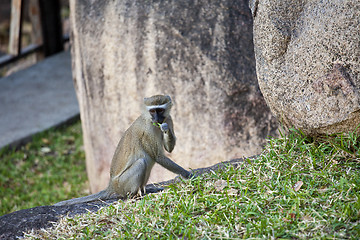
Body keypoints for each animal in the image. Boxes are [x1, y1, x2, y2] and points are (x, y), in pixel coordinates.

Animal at [53, 94, 193, 205]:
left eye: (160, 110)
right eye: (152, 111)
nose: (157, 119)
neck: (150, 120)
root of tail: (111, 186)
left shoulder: (169, 119)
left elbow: (168, 149)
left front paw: (165, 129)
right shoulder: (147, 131)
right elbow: (158, 156)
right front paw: (187, 174)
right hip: (122, 184)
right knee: (141, 163)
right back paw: (133, 195)